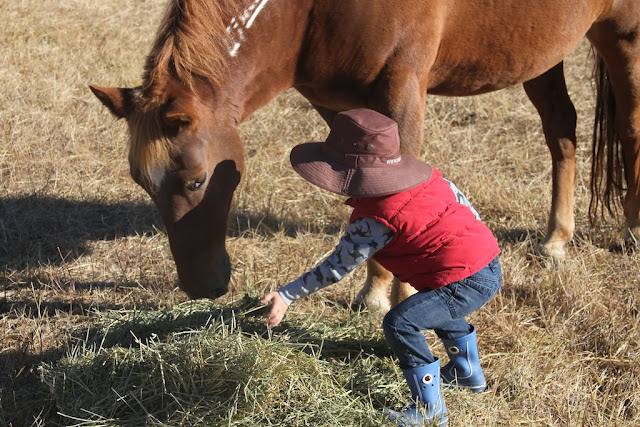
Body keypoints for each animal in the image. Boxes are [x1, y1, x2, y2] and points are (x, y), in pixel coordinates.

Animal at [90, 0, 640, 310]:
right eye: (142, 182)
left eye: (198, 180)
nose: (201, 287)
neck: (309, 10)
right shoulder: (337, 102)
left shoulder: (403, 89)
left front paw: (388, 293)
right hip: (541, 50)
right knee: (561, 130)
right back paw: (557, 237)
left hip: (624, 36)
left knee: (630, 129)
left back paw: (631, 232)